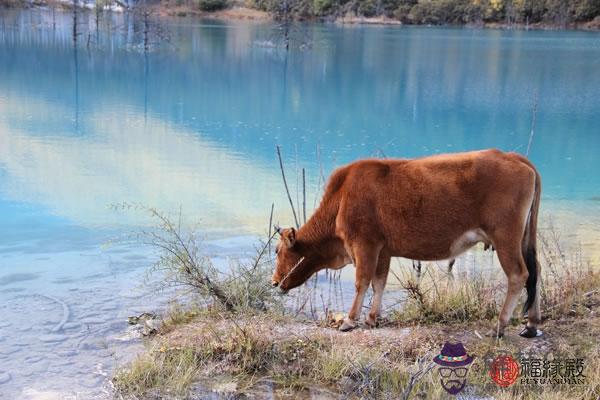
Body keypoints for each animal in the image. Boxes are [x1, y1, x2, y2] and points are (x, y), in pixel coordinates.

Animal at [272, 149, 544, 338]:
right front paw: (372, 318)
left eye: (277, 251)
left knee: (519, 275)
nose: (274, 282)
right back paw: (531, 325)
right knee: (535, 272)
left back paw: (499, 326)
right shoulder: (383, 250)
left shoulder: (364, 245)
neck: (342, 198)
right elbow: (379, 282)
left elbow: (362, 281)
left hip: (505, 237)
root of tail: (513, 156)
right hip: (522, 238)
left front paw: (350, 320)